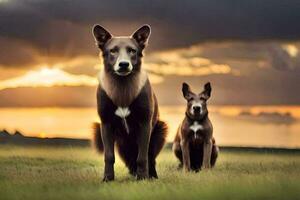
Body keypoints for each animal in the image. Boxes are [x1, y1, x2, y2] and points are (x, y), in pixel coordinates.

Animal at [91, 24, 168, 180]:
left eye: (132, 50)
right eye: (113, 50)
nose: (124, 64)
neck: (122, 85)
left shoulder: (144, 124)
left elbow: (142, 157)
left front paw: (143, 178)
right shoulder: (105, 124)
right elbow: (109, 156)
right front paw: (108, 178)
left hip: (160, 129)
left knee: (150, 158)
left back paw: (151, 176)